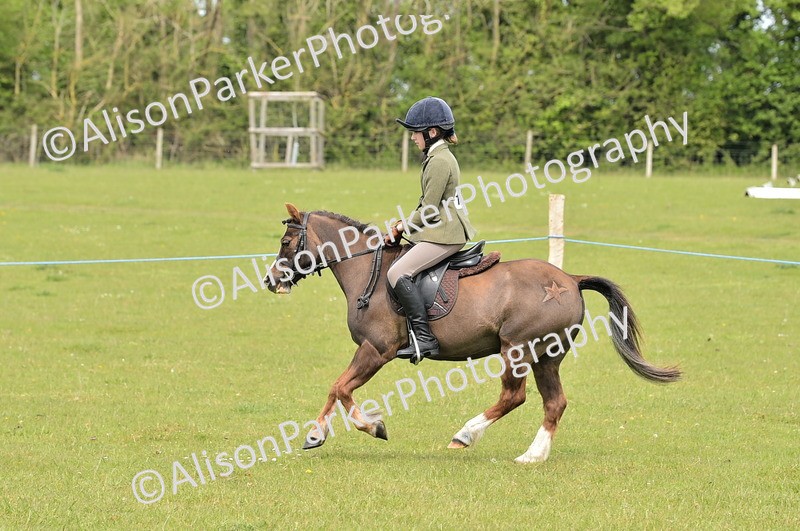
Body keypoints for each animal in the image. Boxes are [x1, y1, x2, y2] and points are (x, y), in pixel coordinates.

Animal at [264, 203, 680, 463]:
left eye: (286, 243)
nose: (270, 281)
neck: (368, 270)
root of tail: (569, 279)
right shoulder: (372, 352)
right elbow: (339, 388)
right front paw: (318, 434)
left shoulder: (376, 349)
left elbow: (340, 387)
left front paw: (367, 427)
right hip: (547, 355)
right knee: (554, 403)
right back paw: (533, 456)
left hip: (517, 349)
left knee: (514, 396)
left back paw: (465, 435)